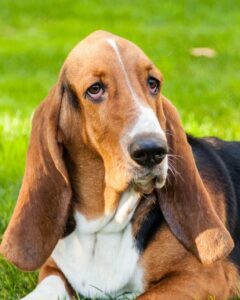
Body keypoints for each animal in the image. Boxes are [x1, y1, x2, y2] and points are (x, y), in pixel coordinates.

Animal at [0, 31, 240, 300]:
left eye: (153, 84)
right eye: (95, 89)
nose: (152, 151)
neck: (102, 227)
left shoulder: (204, 278)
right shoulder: (53, 271)